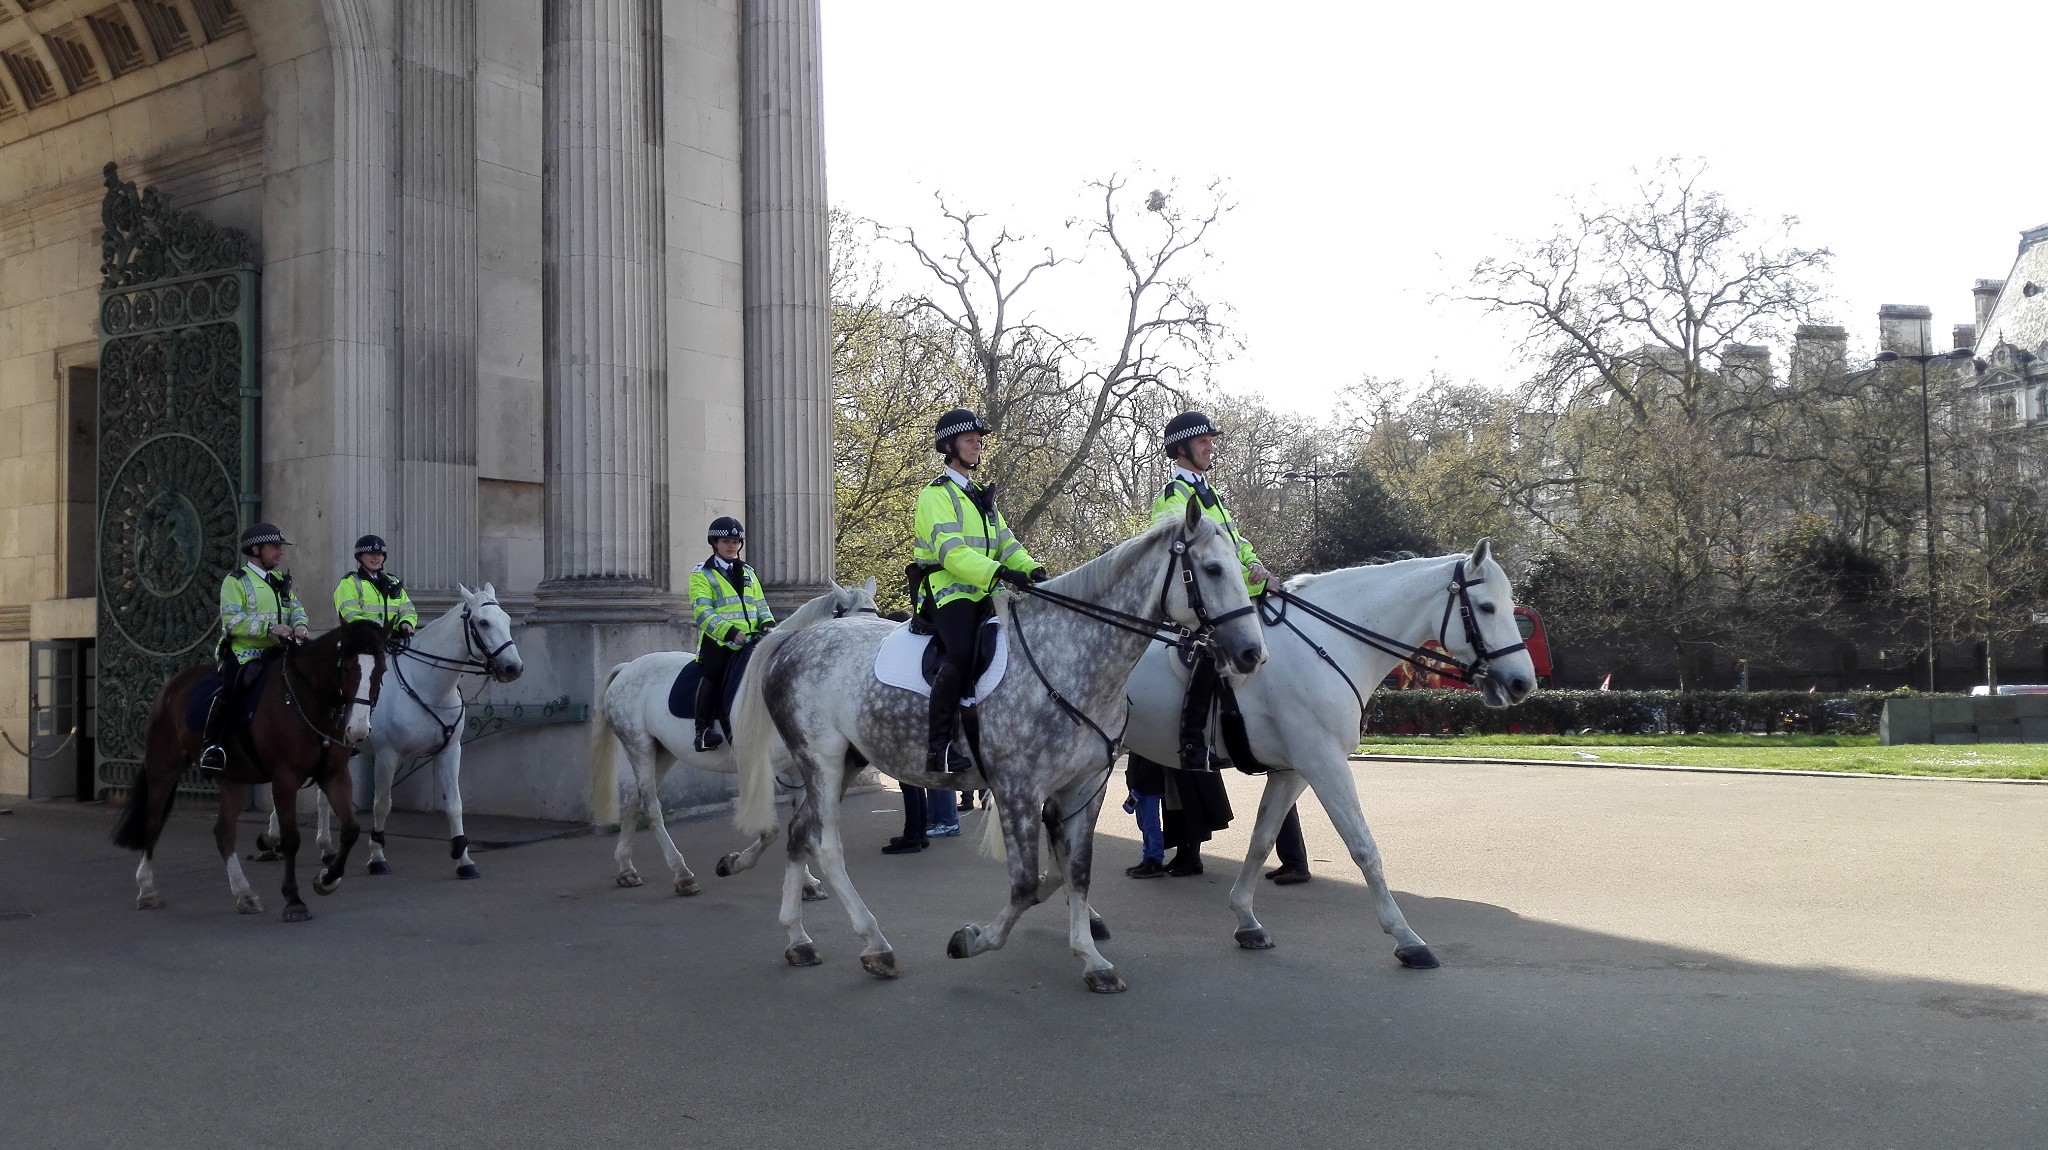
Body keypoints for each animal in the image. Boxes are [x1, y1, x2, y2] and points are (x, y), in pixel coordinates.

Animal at [114, 617, 387, 920]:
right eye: (348, 668)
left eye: (381, 669)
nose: (359, 730)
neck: (306, 699)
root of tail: (171, 686)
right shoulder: (284, 778)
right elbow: (290, 838)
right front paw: (293, 899)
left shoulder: (334, 776)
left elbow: (351, 830)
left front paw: (327, 879)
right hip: (163, 769)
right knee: (152, 823)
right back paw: (147, 889)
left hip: (232, 778)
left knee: (223, 832)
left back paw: (244, 893)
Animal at [256, 581, 524, 875]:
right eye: (483, 622)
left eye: (507, 619)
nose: (513, 668)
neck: (426, 687)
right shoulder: (387, 755)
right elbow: (382, 806)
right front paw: (377, 856)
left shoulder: (450, 751)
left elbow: (455, 804)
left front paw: (463, 859)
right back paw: (277, 838)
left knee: (321, 796)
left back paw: (325, 848)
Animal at [593, 577, 880, 892]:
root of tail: (627, 668)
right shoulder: (763, 767)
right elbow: (771, 830)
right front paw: (731, 864)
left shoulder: (801, 767)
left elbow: (798, 826)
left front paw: (806, 882)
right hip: (639, 746)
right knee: (650, 806)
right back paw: (682, 874)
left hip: (663, 753)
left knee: (633, 800)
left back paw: (626, 868)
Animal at [720, 497, 1261, 990]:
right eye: (1212, 568)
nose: (1252, 653)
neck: (1067, 657)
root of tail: (792, 642)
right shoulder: (1018, 790)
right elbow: (1024, 886)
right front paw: (973, 939)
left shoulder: (1085, 788)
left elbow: (1075, 870)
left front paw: (1090, 956)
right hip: (822, 760)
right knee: (825, 845)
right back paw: (874, 943)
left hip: (846, 763)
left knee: (799, 833)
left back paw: (797, 938)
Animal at [1122, 540, 1540, 961]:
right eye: (1486, 607)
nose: (1523, 682)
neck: (1327, 643)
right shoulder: (1325, 765)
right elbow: (1364, 847)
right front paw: (1406, 937)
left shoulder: (1293, 773)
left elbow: (1262, 841)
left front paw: (1247, 920)